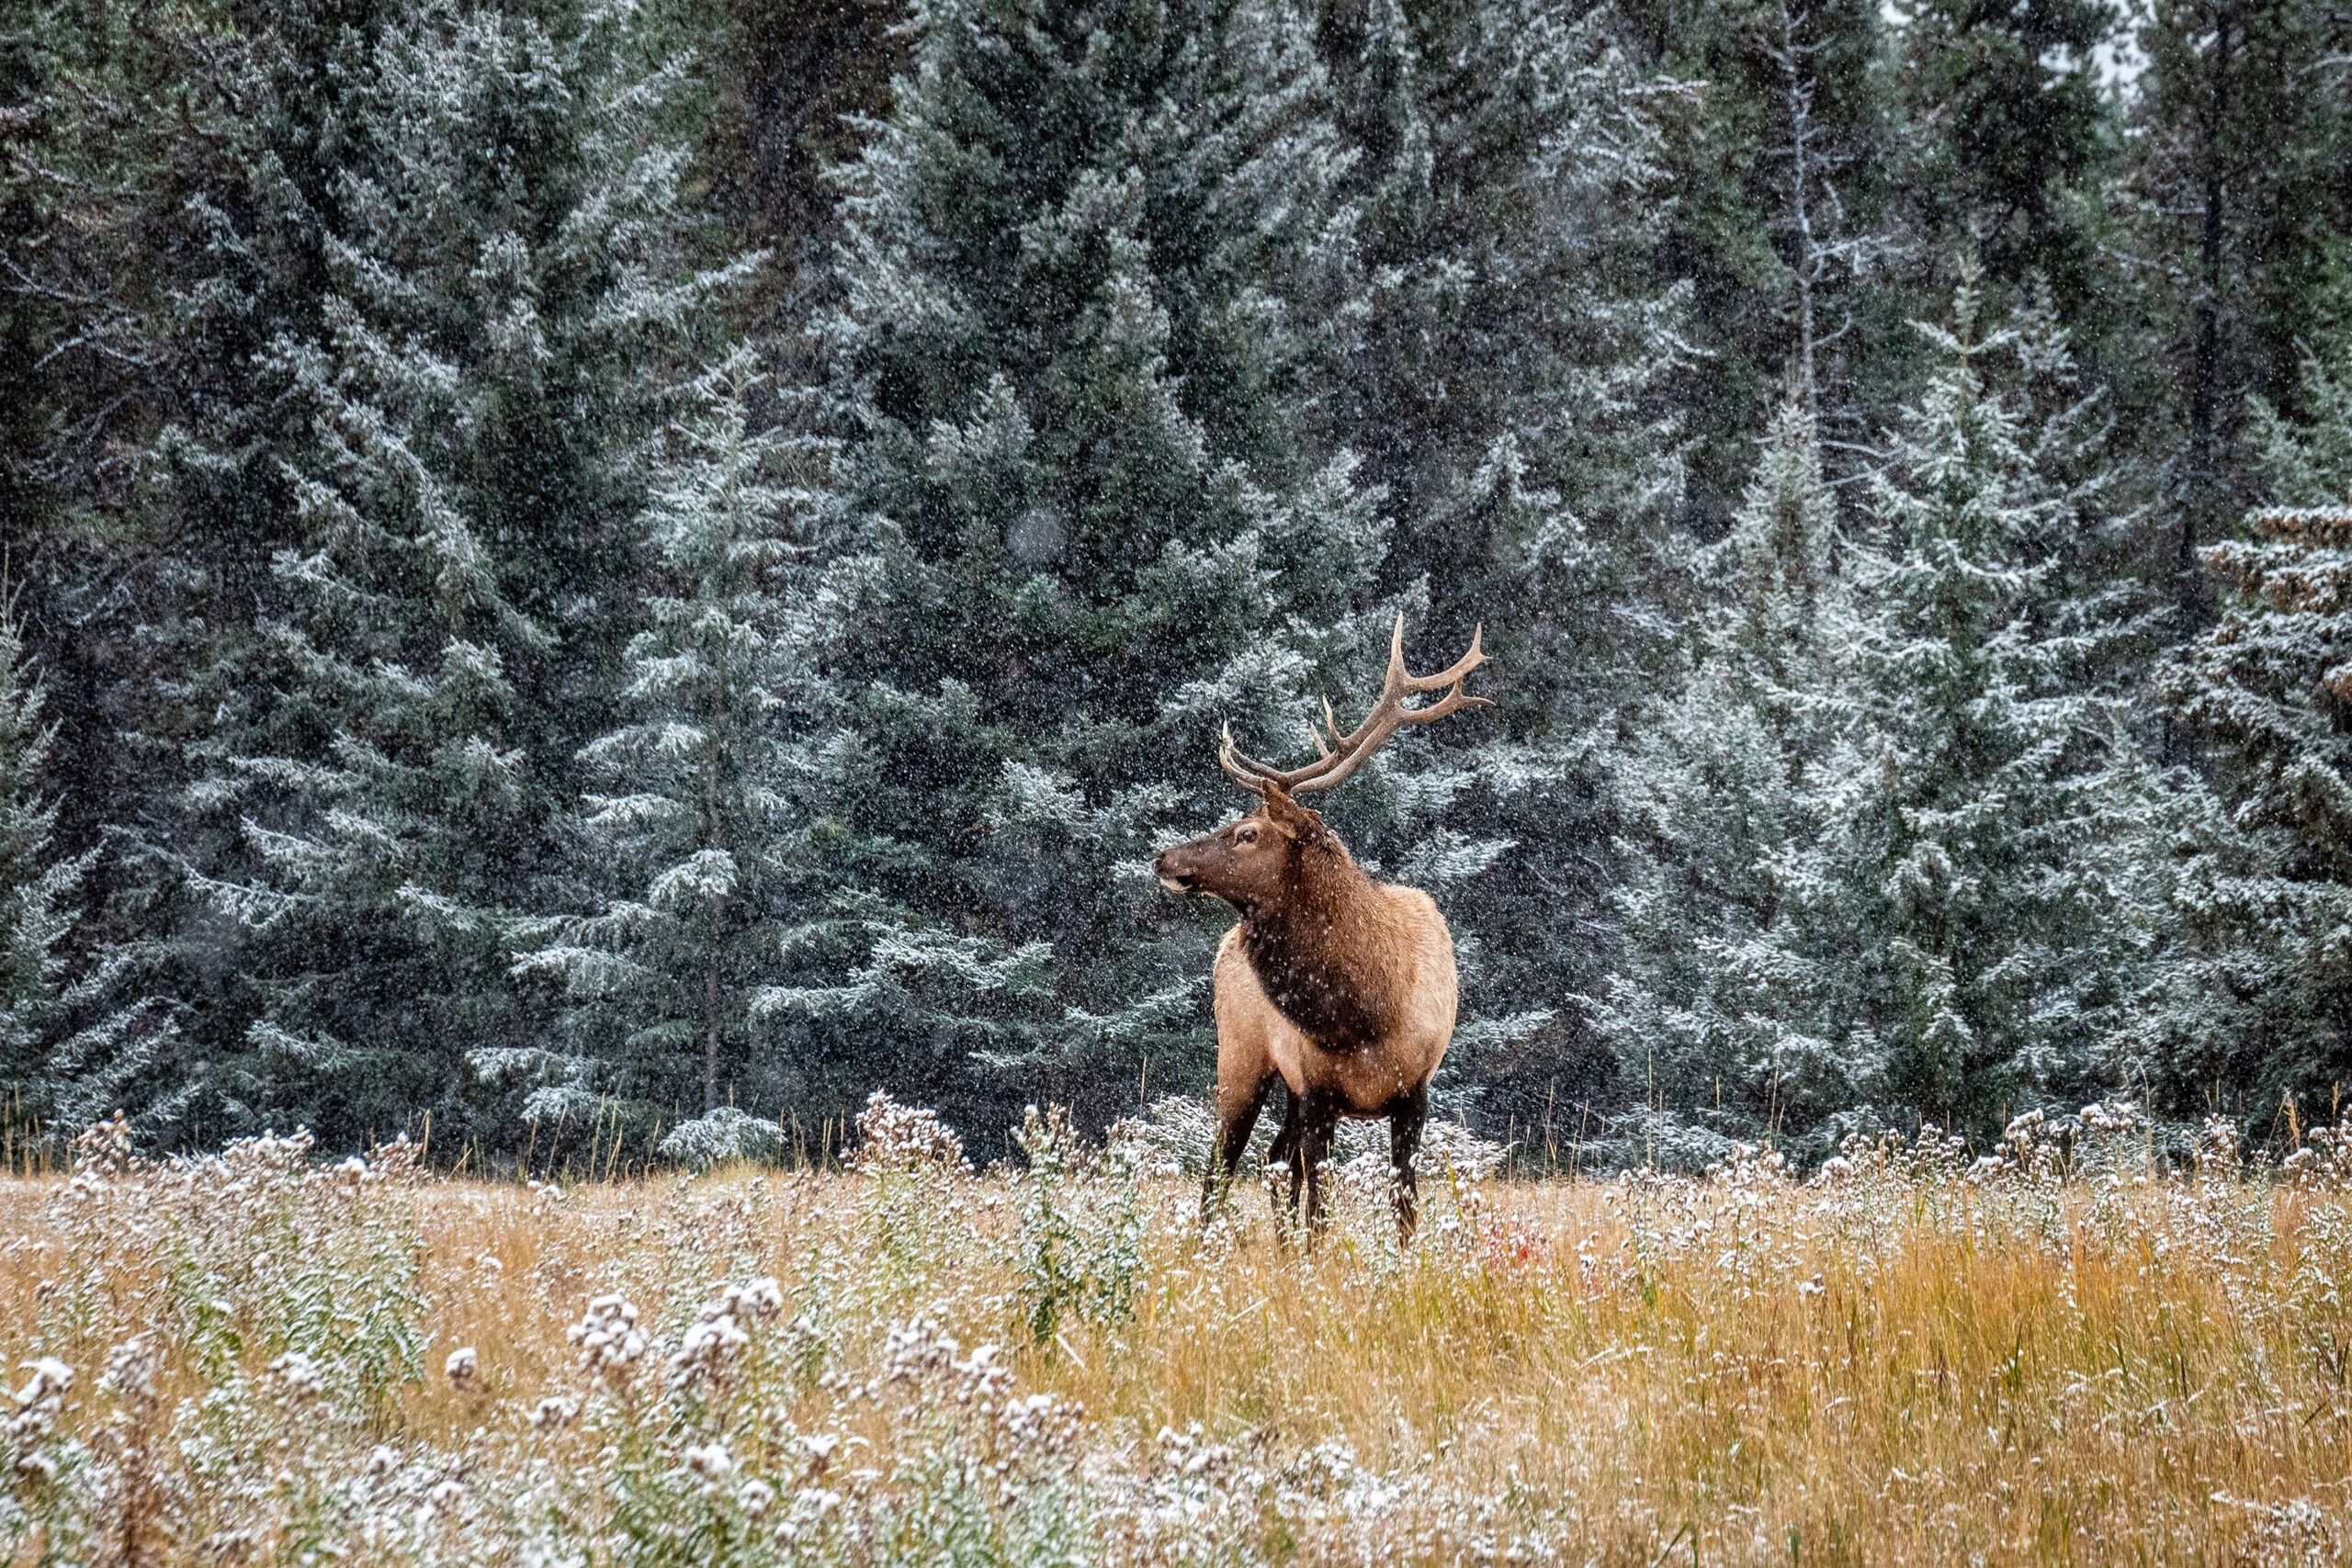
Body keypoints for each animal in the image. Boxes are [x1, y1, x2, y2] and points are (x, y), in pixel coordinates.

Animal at [1152, 616, 1489, 1241]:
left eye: (1247, 833)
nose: (1164, 858)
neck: (1367, 1014)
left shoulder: (1415, 1092)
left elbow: (1404, 1207)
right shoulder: (1318, 1090)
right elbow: (1319, 1211)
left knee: (1271, 1161)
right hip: (1241, 1056)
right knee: (1223, 1168)